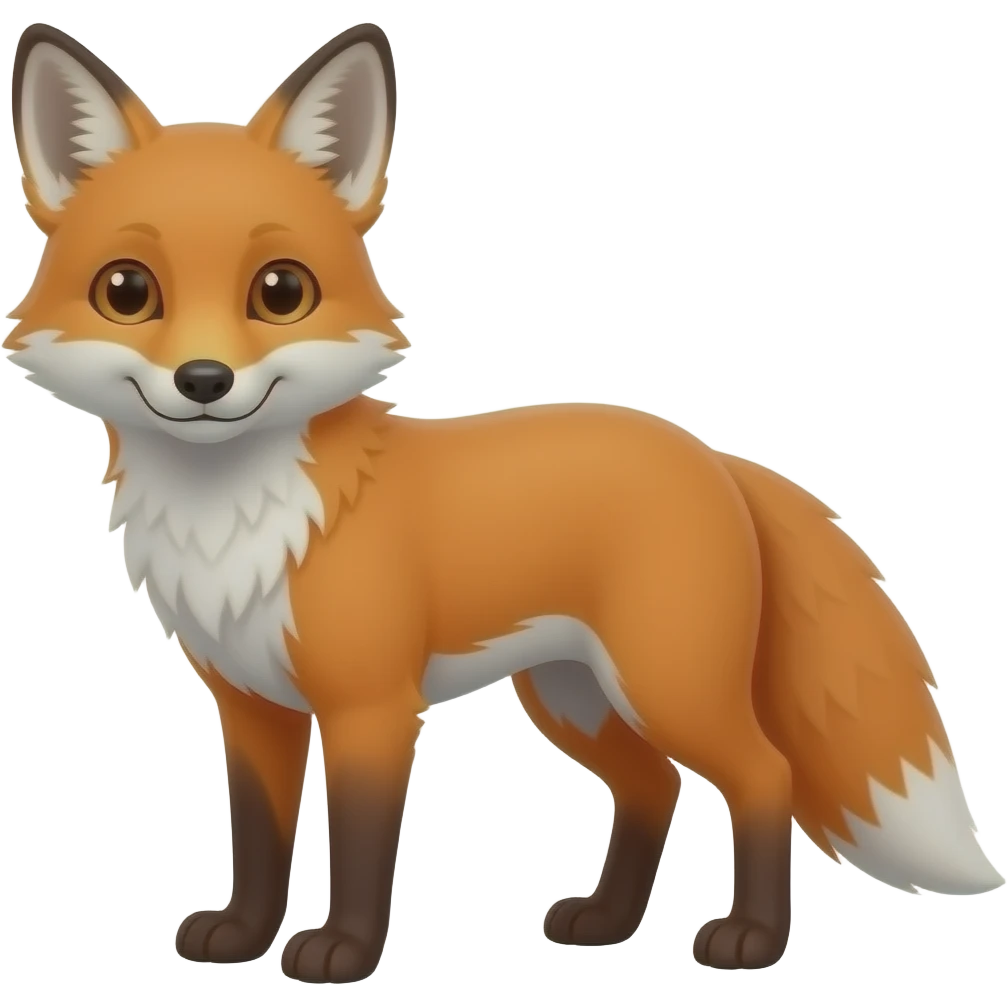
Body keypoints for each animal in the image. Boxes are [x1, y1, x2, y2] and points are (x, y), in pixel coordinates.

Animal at [5, 21, 1002, 985]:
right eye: (127, 290)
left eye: (280, 290)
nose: (204, 380)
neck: (237, 519)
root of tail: (711, 455)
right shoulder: (253, 707)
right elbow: (256, 841)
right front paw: (242, 935)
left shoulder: (372, 706)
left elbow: (360, 847)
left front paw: (343, 953)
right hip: (572, 696)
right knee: (653, 786)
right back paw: (605, 922)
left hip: (666, 683)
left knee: (764, 775)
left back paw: (750, 938)